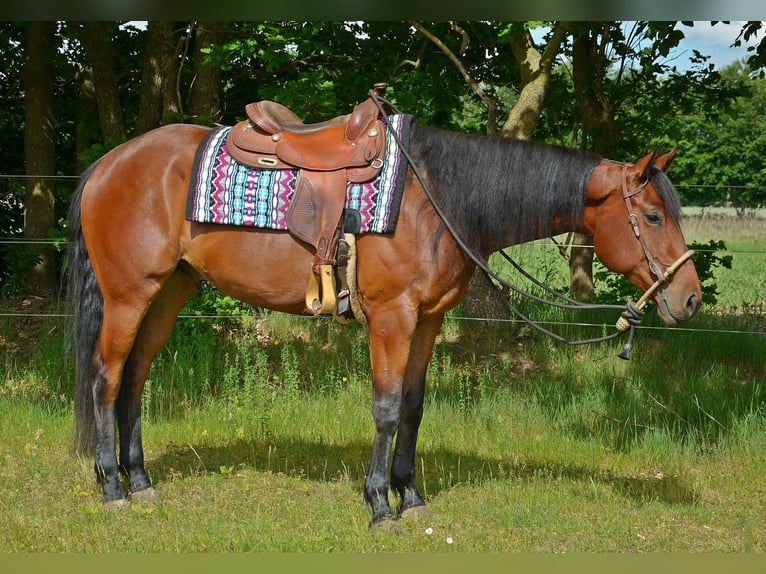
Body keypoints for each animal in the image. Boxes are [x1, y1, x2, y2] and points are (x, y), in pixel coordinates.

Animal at [67, 116, 702, 527]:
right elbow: (387, 408)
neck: (438, 199)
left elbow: (415, 407)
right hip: (128, 296)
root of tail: (106, 163)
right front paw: (378, 505)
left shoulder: (427, 321)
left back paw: (141, 483)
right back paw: (112, 489)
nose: (691, 299)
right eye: (651, 215)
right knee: (106, 378)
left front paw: (411, 497)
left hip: (168, 291)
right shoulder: (392, 319)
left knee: (135, 378)